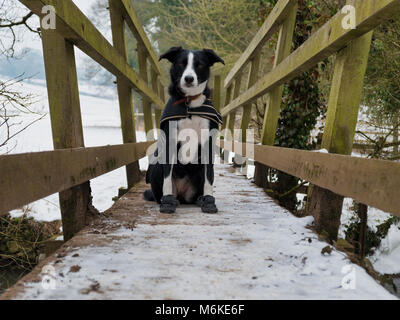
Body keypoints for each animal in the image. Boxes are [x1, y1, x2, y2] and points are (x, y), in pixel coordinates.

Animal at [144, 46, 225, 214]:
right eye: (181, 64)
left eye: (199, 65)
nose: (188, 78)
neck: (190, 104)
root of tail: (181, 194)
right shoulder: (169, 143)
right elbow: (167, 179)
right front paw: (167, 202)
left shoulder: (208, 144)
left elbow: (209, 179)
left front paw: (209, 201)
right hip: (156, 167)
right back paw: (170, 199)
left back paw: (200, 199)